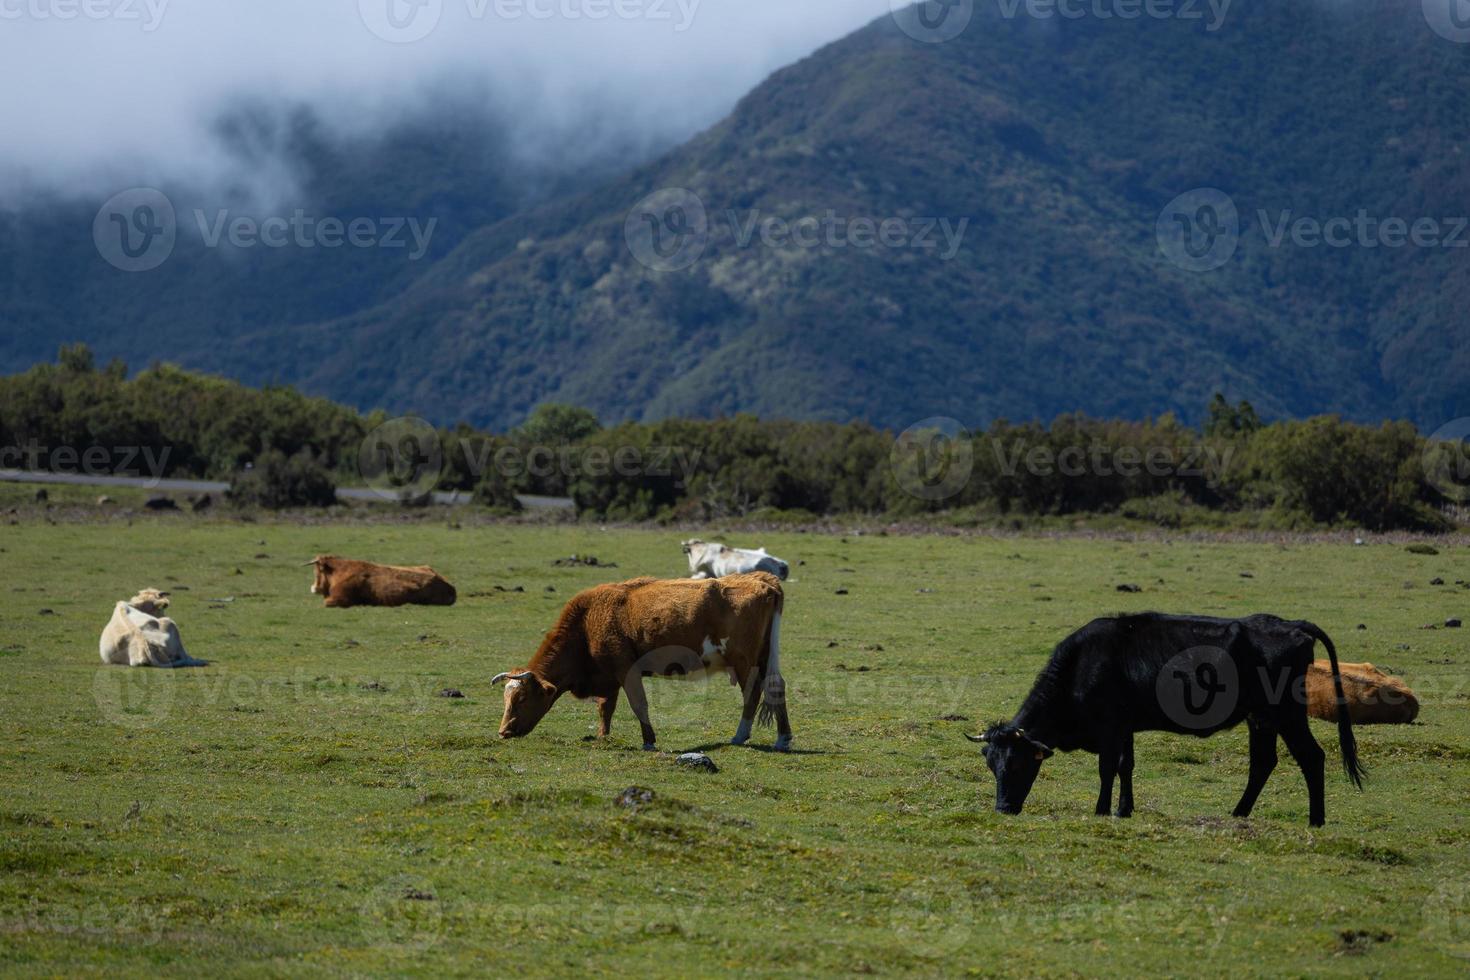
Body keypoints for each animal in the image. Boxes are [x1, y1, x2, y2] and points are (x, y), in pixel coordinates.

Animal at [490, 575, 793, 752]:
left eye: (522, 698)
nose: (503, 731)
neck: (587, 622)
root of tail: (763, 580)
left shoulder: (626, 670)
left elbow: (638, 704)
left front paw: (648, 740)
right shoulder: (608, 675)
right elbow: (606, 707)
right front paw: (603, 736)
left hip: (745, 662)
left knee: (752, 693)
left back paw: (740, 736)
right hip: (763, 659)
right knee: (776, 687)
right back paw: (782, 738)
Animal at [964, 614, 1364, 828]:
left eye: (1019, 764)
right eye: (992, 765)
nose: (1003, 808)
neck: (1083, 665)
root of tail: (1291, 625)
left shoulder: (1110, 728)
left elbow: (1107, 768)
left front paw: (1101, 810)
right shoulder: (1125, 729)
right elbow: (1126, 766)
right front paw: (1124, 809)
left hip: (1287, 713)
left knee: (1311, 757)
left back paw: (1315, 820)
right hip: (1261, 719)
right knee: (1263, 763)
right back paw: (1238, 813)